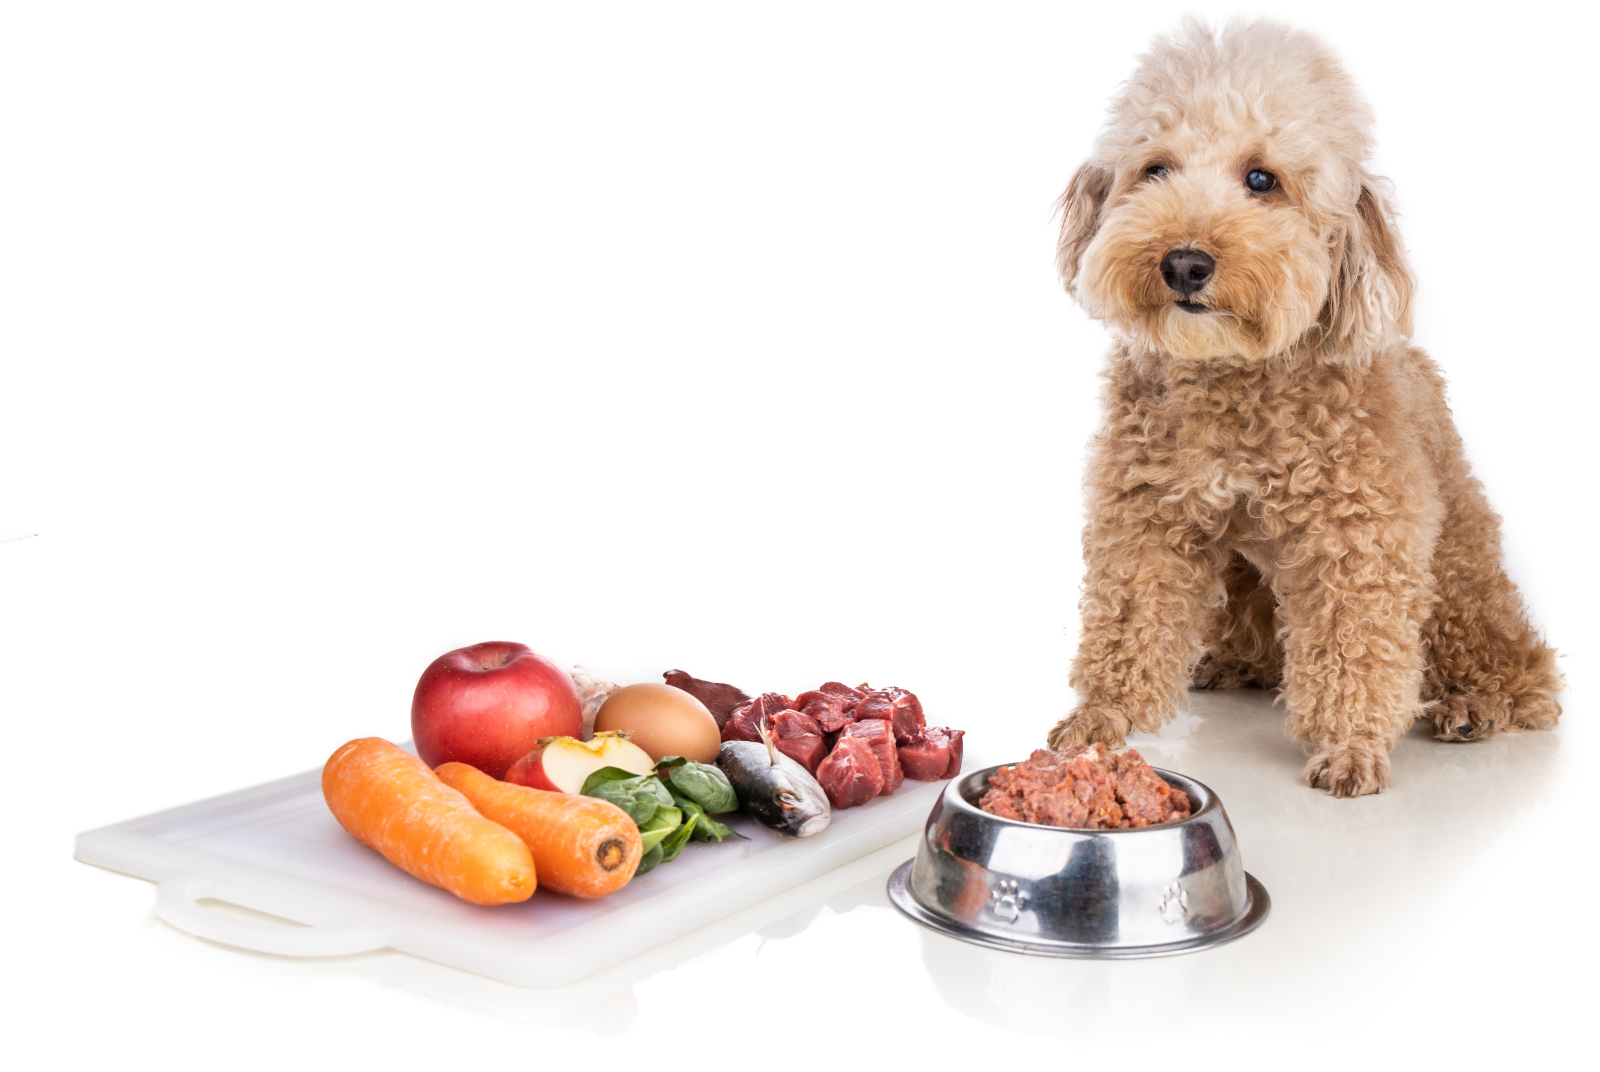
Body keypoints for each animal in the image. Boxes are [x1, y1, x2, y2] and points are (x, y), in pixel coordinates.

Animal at [1049, 21, 1561, 803]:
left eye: (1262, 179)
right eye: (1155, 169)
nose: (1185, 263)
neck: (1234, 379)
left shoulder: (1360, 537)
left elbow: (1355, 645)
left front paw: (1351, 745)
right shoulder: (1146, 517)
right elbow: (1129, 618)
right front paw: (1100, 714)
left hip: (1458, 577)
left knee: (1518, 670)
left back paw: (1473, 704)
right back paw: (1228, 664)